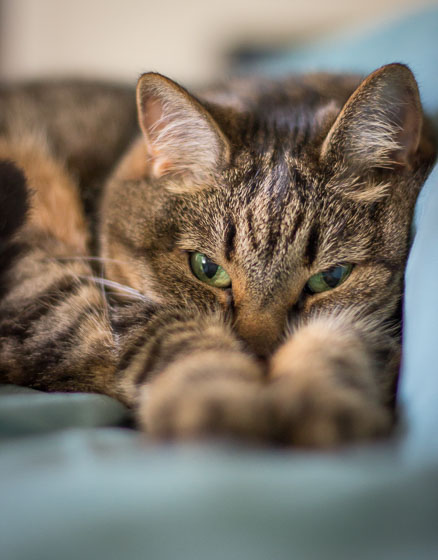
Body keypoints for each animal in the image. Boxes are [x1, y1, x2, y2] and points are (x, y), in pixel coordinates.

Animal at [0, 62, 434, 446]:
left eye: (330, 277)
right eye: (207, 269)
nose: (258, 355)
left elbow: (344, 338)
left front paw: (318, 401)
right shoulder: (39, 281)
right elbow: (166, 332)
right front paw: (217, 399)